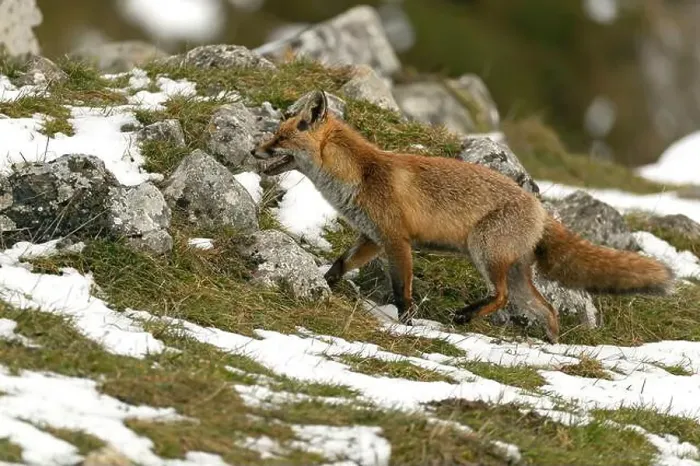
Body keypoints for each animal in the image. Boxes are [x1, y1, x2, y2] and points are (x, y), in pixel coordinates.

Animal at [251, 90, 675, 343]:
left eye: (281, 138)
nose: (255, 150)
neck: (361, 175)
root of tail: (540, 207)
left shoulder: (397, 241)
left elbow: (402, 291)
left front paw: (406, 324)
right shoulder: (372, 238)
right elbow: (338, 266)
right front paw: (321, 284)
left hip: (484, 251)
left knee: (501, 297)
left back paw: (466, 317)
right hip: (515, 270)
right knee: (545, 307)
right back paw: (551, 345)